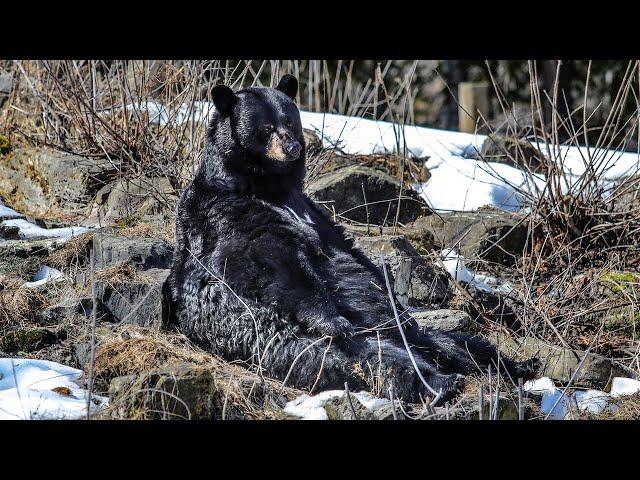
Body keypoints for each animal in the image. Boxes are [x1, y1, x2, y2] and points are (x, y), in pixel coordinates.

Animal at [168, 75, 536, 404]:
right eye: (266, 127)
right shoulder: (227, 213)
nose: (292, 147)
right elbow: (269, 260)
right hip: (293, 342)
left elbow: (352, 254)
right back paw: (440, 383)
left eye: (290, 120)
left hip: (417, 336)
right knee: (372, 362)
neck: (266, 186)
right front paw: (333, 319)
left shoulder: (314, 211)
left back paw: (519, 366)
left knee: (458, 344)